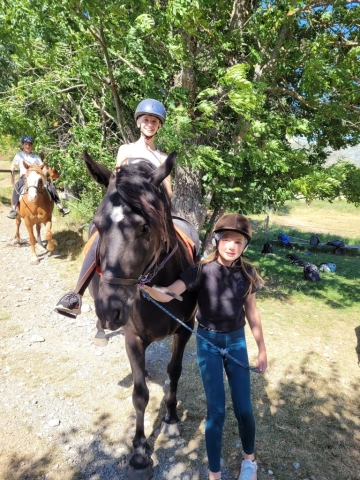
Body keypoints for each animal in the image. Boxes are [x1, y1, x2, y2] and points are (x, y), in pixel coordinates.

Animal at [82, 151, 197, 480]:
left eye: (145, 227)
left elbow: (174, 372)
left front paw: (171, 420)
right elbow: (140, 395)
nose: (110, 309)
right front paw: (139, 451)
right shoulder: (132, 337)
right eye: (99, 224)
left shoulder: (185, 329)